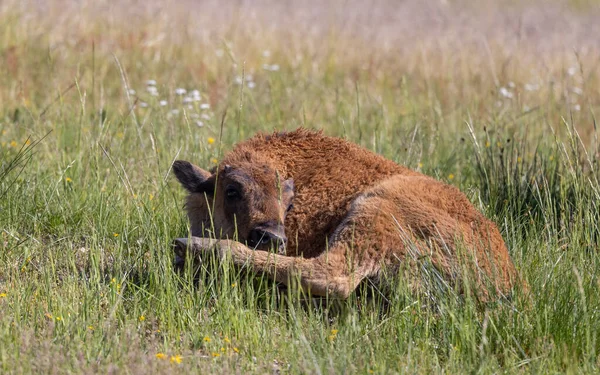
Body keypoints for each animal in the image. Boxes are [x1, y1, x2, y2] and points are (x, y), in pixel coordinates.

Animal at [172, 129, 516, 300]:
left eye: (288, 201)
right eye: (232, 190)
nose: (270, 236)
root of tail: (505, 284)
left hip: (376, 205)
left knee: (330, 275)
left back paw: (193, 247)